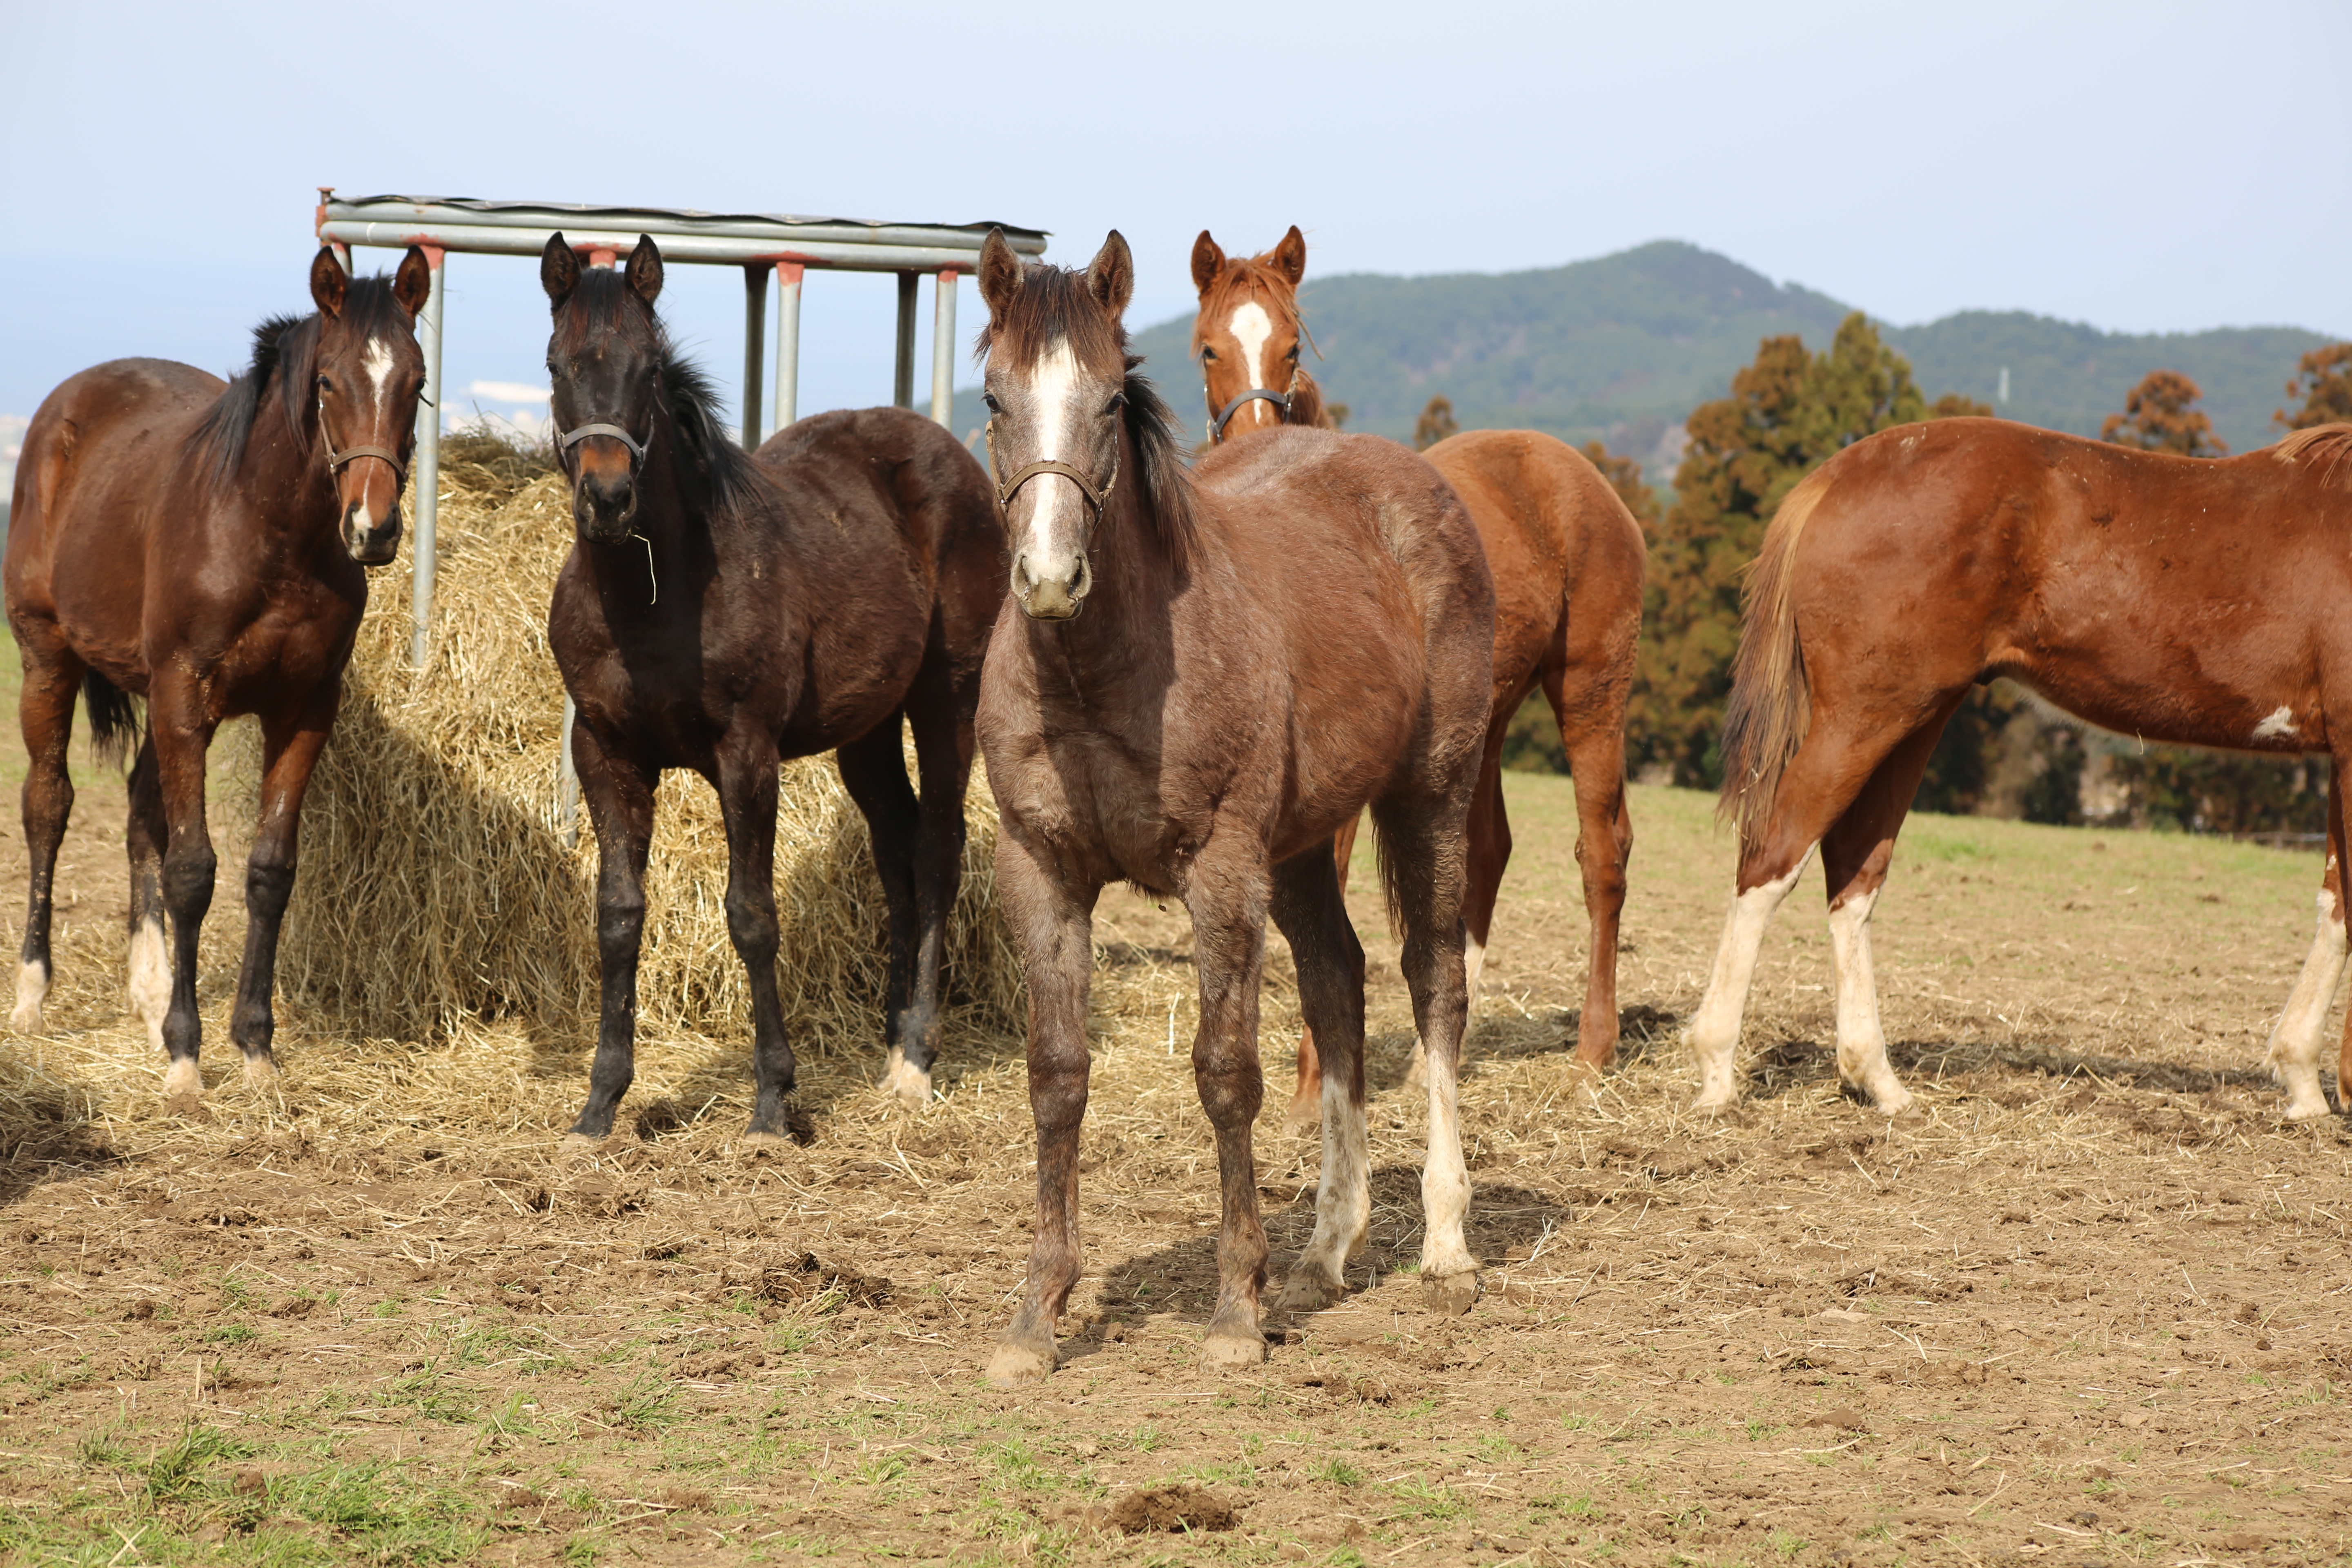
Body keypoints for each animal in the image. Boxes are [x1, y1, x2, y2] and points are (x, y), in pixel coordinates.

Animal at [4, 242, 432, 1105]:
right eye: (327, 381)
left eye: (416, 379)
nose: (373, 529)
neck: (272, 536)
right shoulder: (184, 697)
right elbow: (193, 871)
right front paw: (186, 1055)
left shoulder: (303, 710)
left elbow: (269, 872)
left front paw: (255, 1047)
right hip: (47, 661)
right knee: (48, 806)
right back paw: (33, 994)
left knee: (139, 814)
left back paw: (146, 994)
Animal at [536, 230, 1002, 1142]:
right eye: (556, 364)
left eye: (650, 366)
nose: (608, 499)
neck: (654, 595)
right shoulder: (606, 752)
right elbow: (618, 918)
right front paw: (600, 1104)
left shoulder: (746, 753)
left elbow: (752, 916)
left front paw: (773, 1101)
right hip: (867, 728)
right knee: (896, 845)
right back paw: (891, 1032)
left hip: (946, 696)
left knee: (937, 848)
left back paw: (917, 1059)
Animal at [969, 230, 1486, 1382]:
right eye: (992, 397)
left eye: (1110, 400)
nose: (1049, 578)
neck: (1099, 669)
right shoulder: (1041, 870)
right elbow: (1056, 1074)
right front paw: (1035, 1314)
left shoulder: (1219, 871)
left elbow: (1225, 1073)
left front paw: (1233, 1309)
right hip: (1298, 851)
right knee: (1338, 985)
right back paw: (1325, 1250)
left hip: (1427, 798)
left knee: (1434, 984)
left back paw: (1443, 1242)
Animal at [1185, 230, 1646, 1114]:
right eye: (1208, 349)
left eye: (1292, 349)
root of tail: (1580, 475)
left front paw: (1314, 1082)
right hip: (1480, 725)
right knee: (1488, 853)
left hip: (1590, 694)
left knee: (1603, 851)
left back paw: (1593, 1050)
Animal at [1703, 421, 2352, 1128]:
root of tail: (1835, 477)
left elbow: (2336, 906)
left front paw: (2310, 1085)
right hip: (1863, 717)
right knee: (1772, 854)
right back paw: (1716, 1073)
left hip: (1913, 719)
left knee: (1852, 872)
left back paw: (1878, 1081)